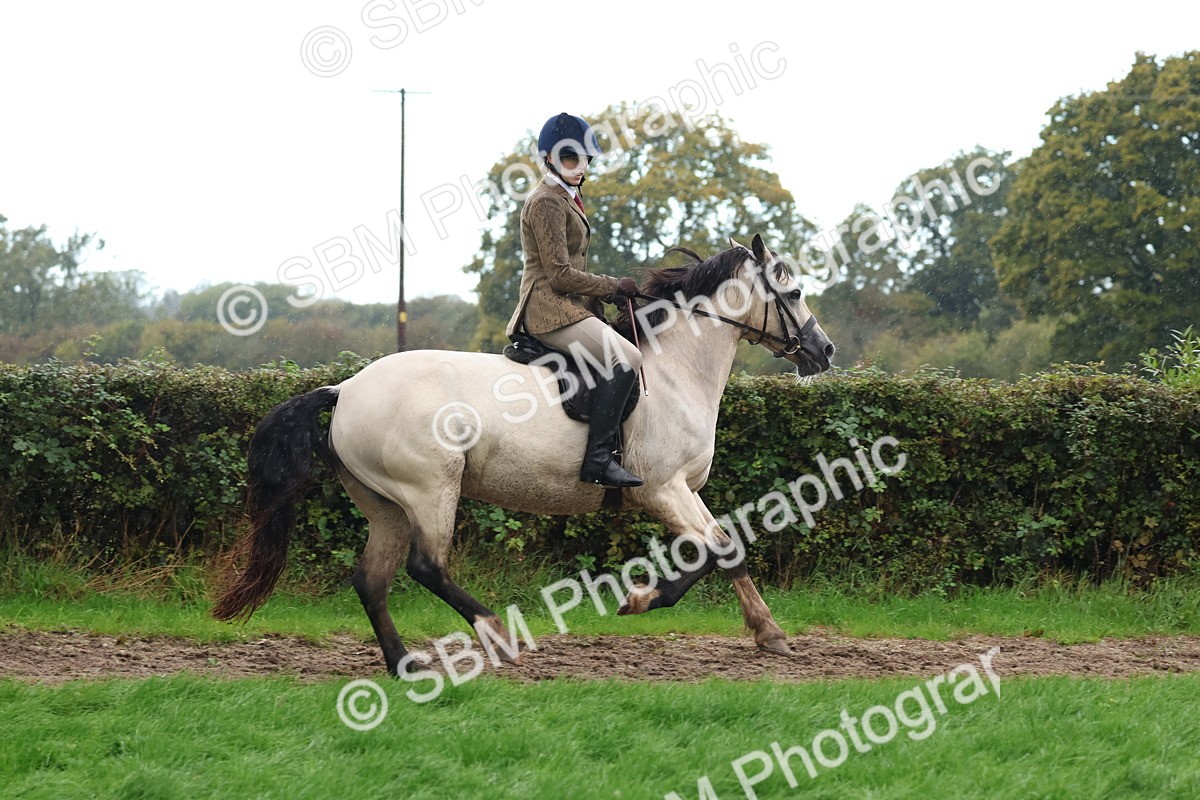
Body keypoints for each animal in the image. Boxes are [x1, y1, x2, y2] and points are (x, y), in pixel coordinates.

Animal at [212, 233, 835, 675]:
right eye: (795, 293)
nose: (824, 351)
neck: (675, 373)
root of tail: (344, 389)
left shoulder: (684, 490)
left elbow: (730, 548)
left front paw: (769, 633)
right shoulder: (662, 489)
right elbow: (713, 552)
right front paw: (638, 601)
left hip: (384, 503)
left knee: (372, 580)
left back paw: (404, 664)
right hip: (431, 487)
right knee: (425, 566)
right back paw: (497, 633)